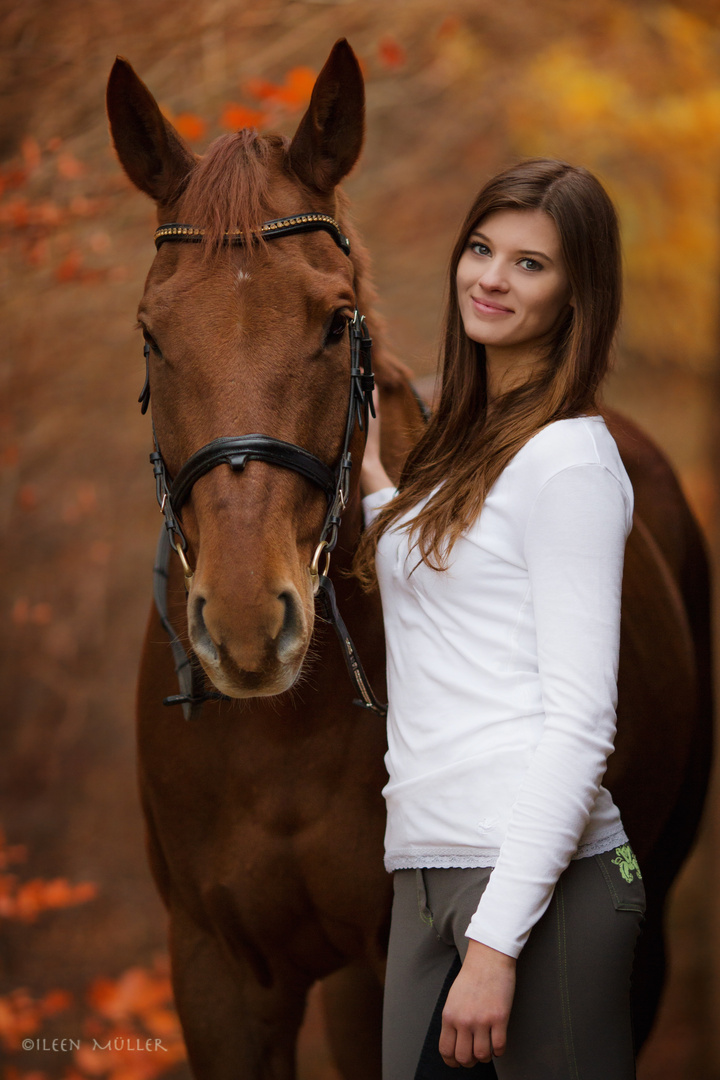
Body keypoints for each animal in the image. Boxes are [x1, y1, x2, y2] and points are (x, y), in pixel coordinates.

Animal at [108, 35, 716, 1080]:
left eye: (332, 318)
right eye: (153, 332)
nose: (246, 624)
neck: (284, 736)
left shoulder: (379, 968)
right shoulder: (217, 972)